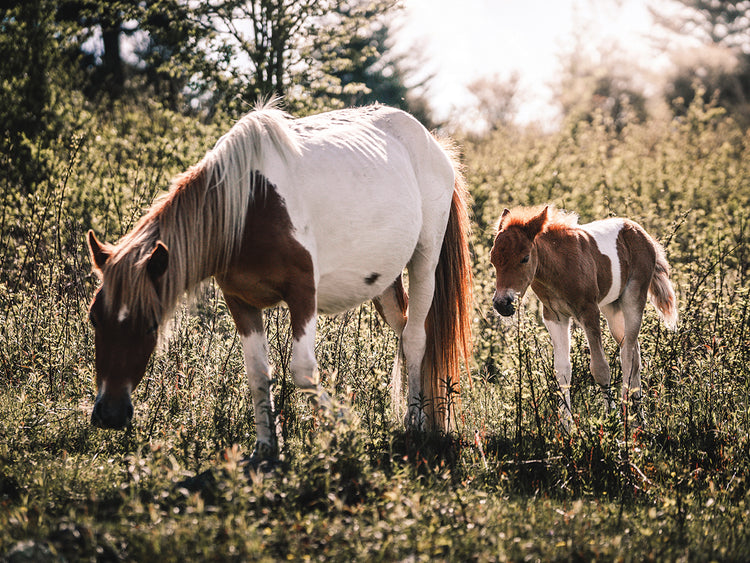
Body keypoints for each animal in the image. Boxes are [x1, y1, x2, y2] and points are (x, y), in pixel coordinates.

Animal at [86, 102, 473, 461]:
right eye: (94, 320)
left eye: (151, 325)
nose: (110, 413)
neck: (248, 207)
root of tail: (434, 145)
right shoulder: (240, 301)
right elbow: (258, 373)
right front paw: (266, 447)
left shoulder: (303, 294)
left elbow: (302, 371)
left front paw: (345, 426)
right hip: (385, 282)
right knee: (404, 331)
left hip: (424, 260)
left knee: (415, 339)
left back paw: (416, 425)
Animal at [489, 205, 677, 428]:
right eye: (493, 260)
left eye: (525, 258)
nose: (502, 304)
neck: (559, 268)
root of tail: (642, 233)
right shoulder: (555, 317)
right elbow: (562, 371)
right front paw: (566, 427)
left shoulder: (589, 312)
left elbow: (600, 368)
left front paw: (612, 420)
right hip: (613, 308)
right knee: (635, 352)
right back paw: (638, 419)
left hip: (633, 298)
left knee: (627, 355)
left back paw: (627, 415)